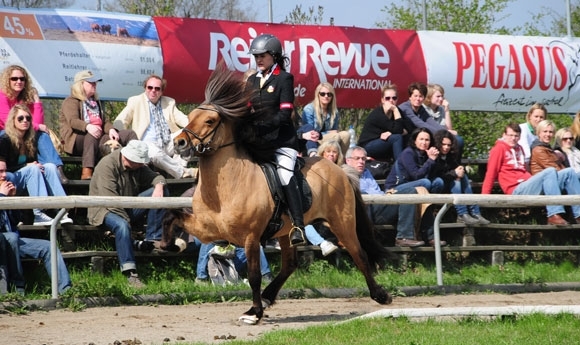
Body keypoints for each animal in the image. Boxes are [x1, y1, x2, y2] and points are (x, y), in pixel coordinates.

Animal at [161, 63, 392, 324]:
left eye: (210, 121)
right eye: (190, 118)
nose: (179, 143)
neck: (224, 189)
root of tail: (340, 170)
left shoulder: (251, 237)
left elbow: (253, 275)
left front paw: (253, 312)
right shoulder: (208, 230)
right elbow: (172, 216)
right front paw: (170, 245)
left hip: (342, 223)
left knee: (359, 254)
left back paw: (381, 295)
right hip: (287, 230)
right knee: (290, 264)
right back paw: (268, 297)